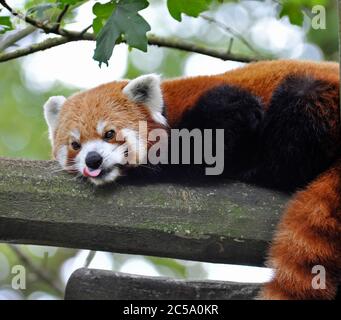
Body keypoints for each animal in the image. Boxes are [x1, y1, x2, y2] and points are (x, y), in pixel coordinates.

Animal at [43, 60, 338, 300]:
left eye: (109, 134)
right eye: (76, 145)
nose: (93, 160)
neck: (167, 109)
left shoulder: (227, 104)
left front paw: (149, 169)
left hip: (315, 98)